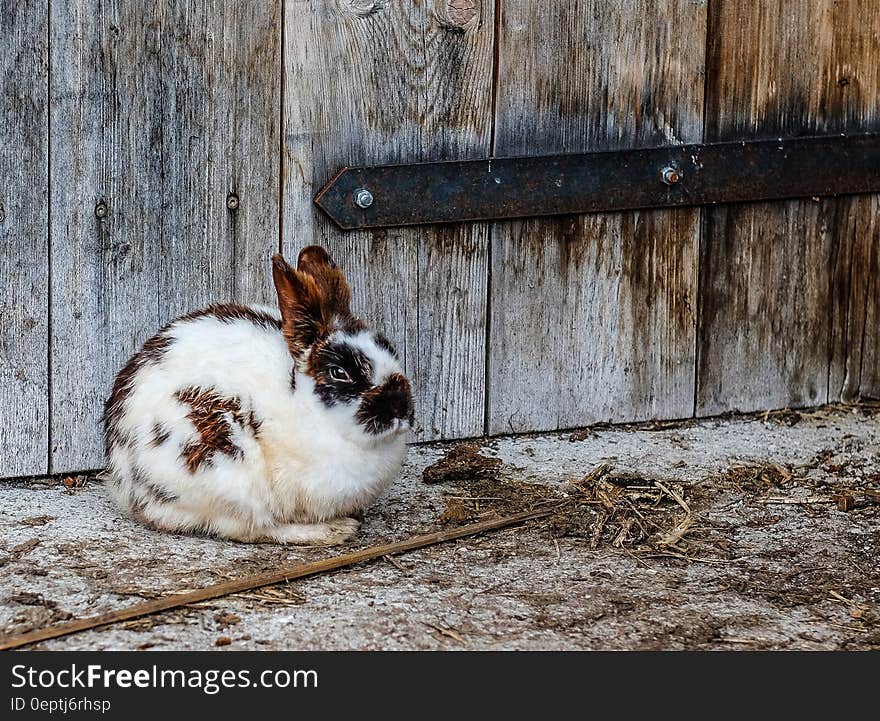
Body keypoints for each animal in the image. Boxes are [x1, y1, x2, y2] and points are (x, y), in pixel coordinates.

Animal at [102, 245, 412, 544]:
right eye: (339, 372)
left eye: (390, 349)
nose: (400, 407)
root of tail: (126, 483)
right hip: (226, 470)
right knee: (251, 528)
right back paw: (333, 531)